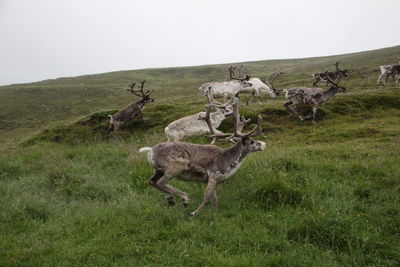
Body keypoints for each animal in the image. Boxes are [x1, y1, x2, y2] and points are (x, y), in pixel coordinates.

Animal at [139, 97, 268, 217]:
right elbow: (207, 198)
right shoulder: (214, 175)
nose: (264, 144)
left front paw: (216, 214)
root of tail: (150, 151)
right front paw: (194, 213)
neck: (229, 160)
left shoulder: (211, 180)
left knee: (152, 181)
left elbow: (214, 199)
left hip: (159, 169)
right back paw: (184, 198)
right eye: (252, 141)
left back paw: (171, 199)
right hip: (178, 165)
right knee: (161, 182)